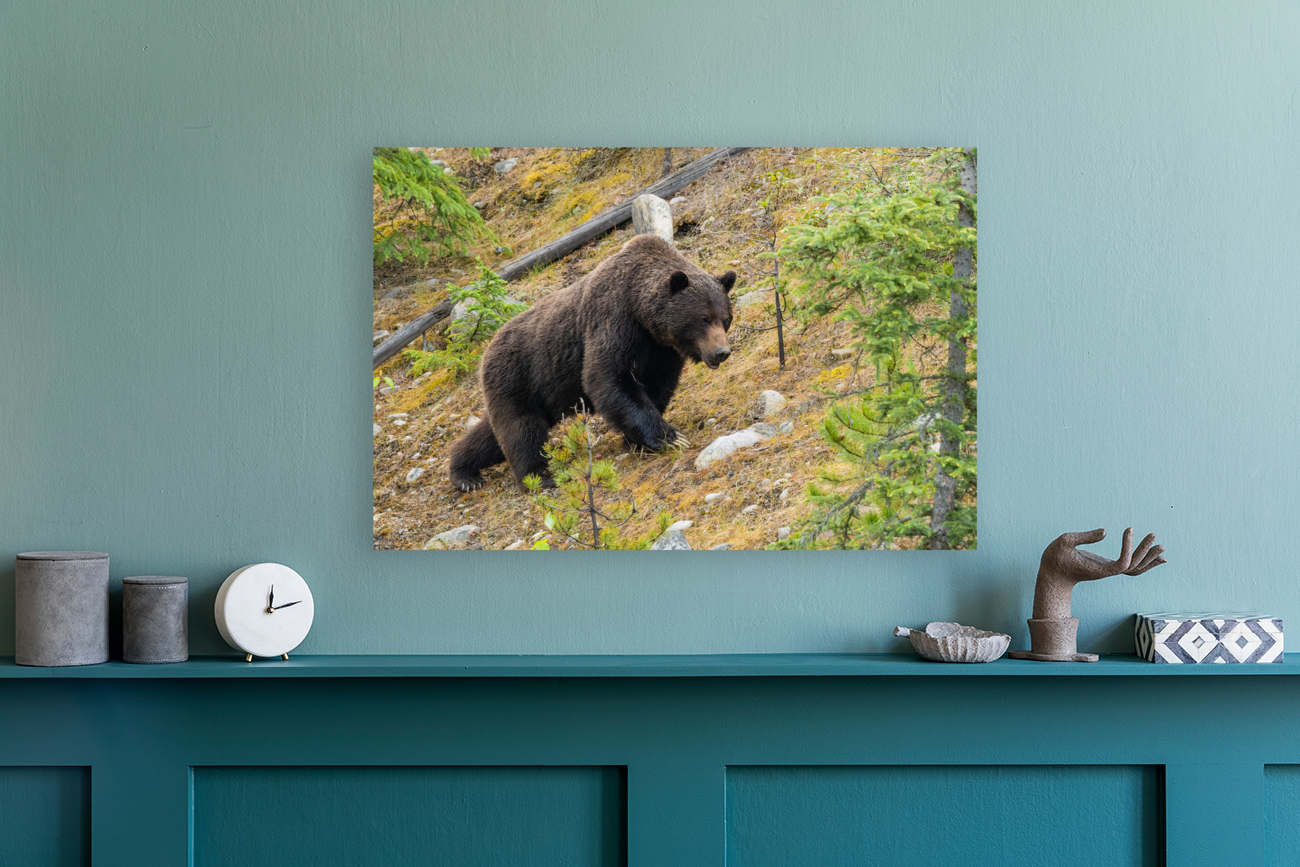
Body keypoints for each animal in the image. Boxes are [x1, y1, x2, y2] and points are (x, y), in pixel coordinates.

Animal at [448, 234, 736, 492]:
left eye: (725, 318)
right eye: (703, 318)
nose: (721, 351)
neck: (643, 314)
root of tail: (487, 349)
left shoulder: (661, 350)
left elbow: (656, 386)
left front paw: (637, 440)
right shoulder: (614, 321)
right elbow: (608, 378)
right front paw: (671, 438)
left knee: (493, 435)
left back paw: (464, 472)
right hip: (516, 376)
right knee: (522, 430)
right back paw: (537, 478)